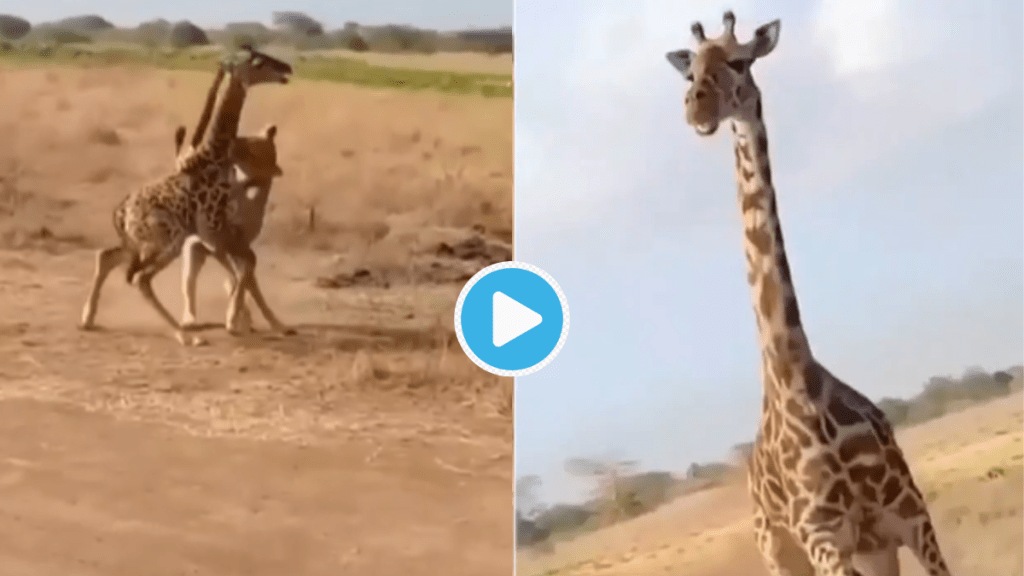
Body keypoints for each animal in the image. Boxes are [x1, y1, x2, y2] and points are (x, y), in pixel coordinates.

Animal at [79, 46, 293, 346]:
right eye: (258, 62)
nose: (287, 69)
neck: (213, 156)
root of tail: (120, 214)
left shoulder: (215, 234)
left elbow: (245, 266)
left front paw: (243, 320)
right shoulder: (213, 230)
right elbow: (246, 266)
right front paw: (234, 321)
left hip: (140, 245)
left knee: (106, 257)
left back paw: (88, 319)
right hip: (168, 241)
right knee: (140, 278)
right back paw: (186, 335)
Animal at [665, 12, 953, 576]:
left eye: (739, 62)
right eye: (691, 73)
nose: (697, 108)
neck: (794, 376)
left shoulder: (909, 517)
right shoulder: (823, 537)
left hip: (875, 550)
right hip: (780, 549)